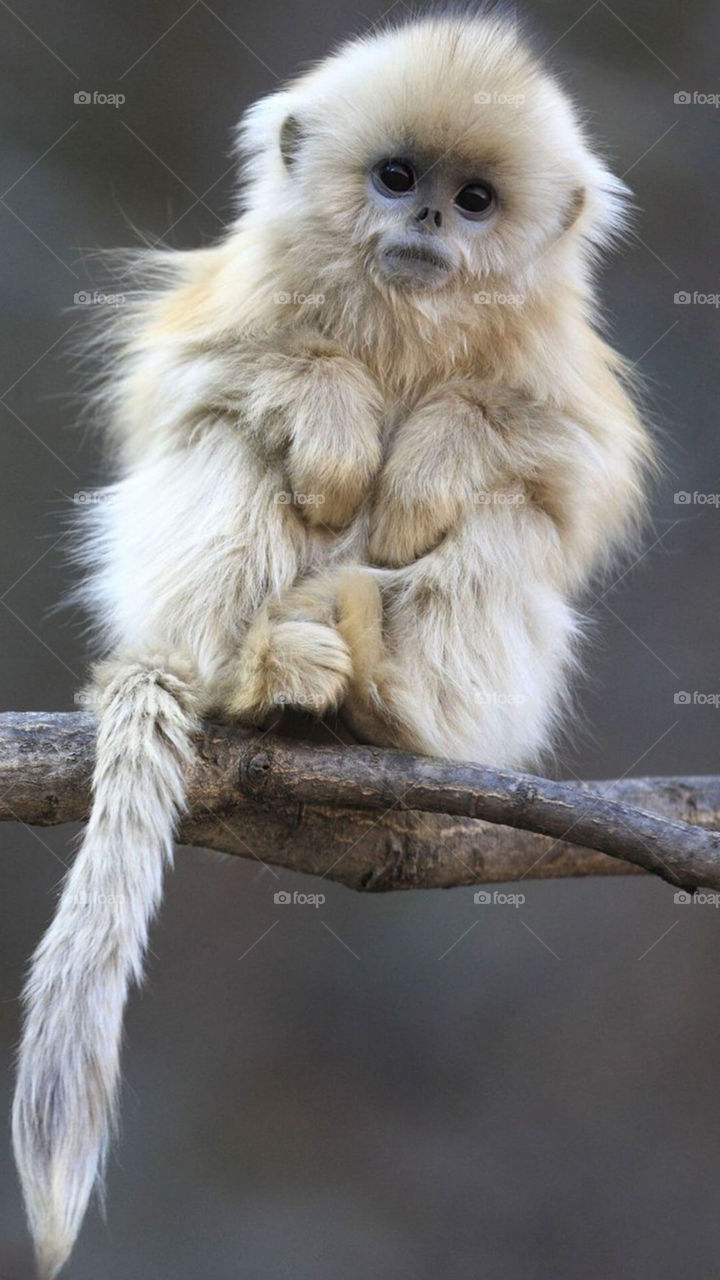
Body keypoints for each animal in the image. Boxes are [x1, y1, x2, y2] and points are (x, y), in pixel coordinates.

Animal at [11, 13, 655, 1276]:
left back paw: (378, 693)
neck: (404, 319)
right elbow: (195, 383)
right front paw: (342, 420)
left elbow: (558, 471)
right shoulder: (229, 301)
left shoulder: (563, 378)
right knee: (230, 442)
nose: (426, 223)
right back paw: (259, 676)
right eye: (397, 177)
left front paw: (425, 465)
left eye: (475, 199)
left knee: (504, 526)